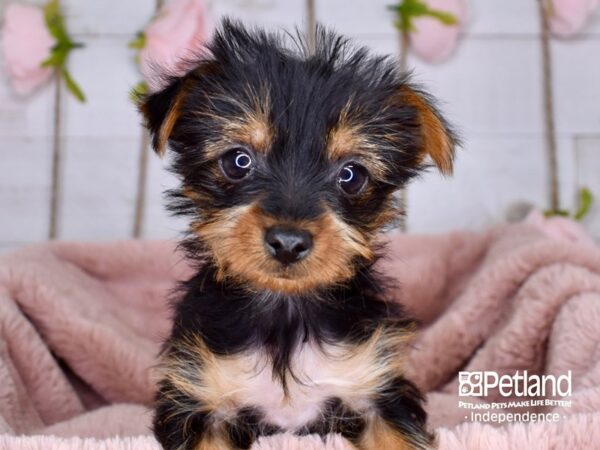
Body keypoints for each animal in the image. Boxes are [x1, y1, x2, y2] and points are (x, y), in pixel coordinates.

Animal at [141, 19, 458, 448]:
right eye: (238, 161)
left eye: (351, 175)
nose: (288, 243)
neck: (286, 312)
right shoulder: (202, 400)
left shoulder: (377, 393)